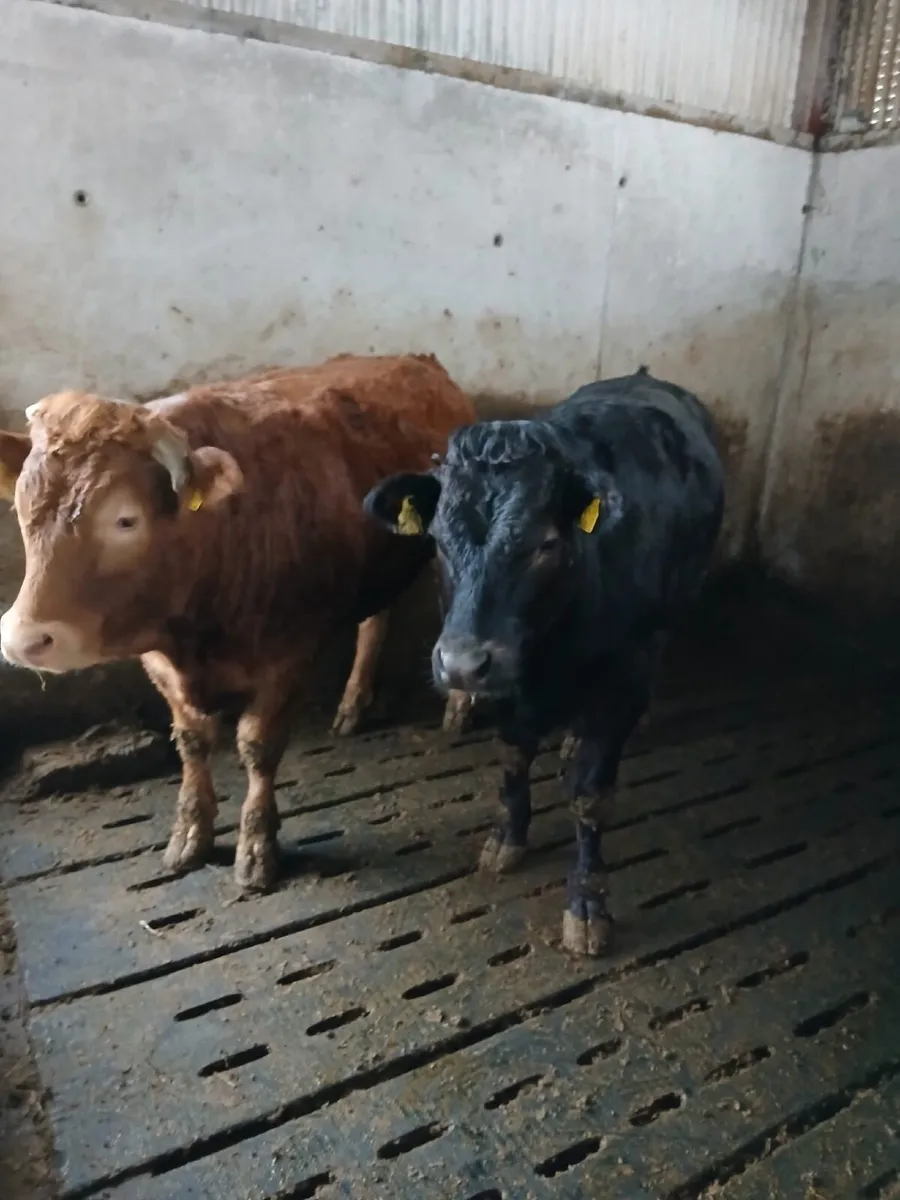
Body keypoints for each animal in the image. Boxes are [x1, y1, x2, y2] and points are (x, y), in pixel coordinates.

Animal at [0, 354, 476, 891]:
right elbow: (191, 742)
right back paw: (353, 704)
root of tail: (416, 360)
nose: (23, 639)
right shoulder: (158, 660)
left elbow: (257, 746)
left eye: (125, 519)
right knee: (375, 619)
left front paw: (256, 846)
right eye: (21, 507)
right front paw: (190, 834)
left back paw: (458, 708)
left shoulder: (289, 656)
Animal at [364, 367, 724, 956]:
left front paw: (588, 905)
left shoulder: (623, 676)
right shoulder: (507, 682)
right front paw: (507, 838)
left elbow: (591, 798)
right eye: (437, 539)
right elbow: (513, 757)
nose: (461, 663)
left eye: (545, 545)